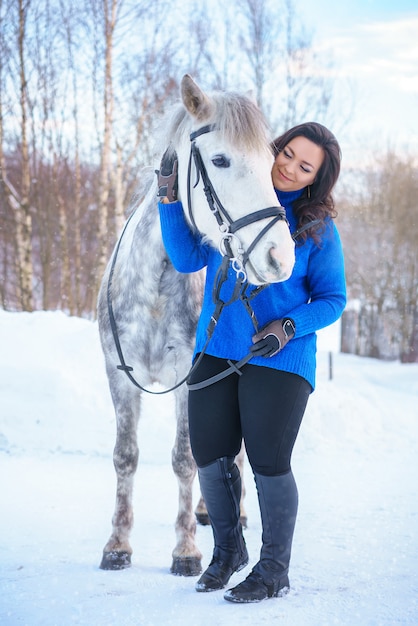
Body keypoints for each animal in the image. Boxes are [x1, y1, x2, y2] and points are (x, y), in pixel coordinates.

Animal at [97, 74, 294, 576]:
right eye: (221, 159)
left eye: (272, 164)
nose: (281, 258)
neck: (153, 286)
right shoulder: (118, 377)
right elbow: (125, 456)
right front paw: (117, 545)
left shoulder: (191, 381)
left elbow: (186, 459)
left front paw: (185, 551)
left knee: (234, 451)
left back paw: (230, 514)